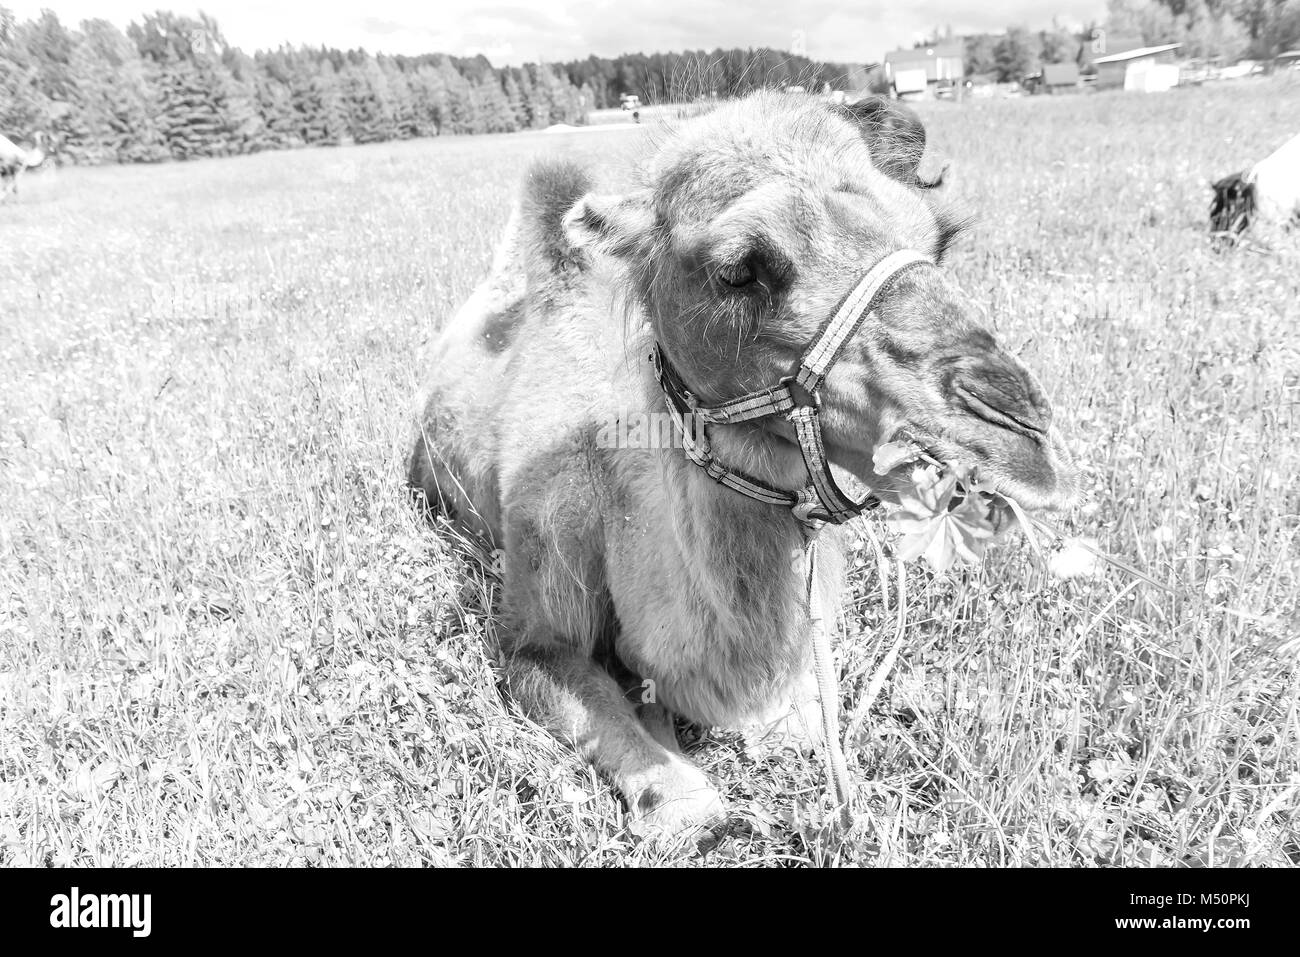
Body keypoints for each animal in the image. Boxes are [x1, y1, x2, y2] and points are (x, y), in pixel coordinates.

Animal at [408, 92, 1076, 839]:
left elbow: (807, 721)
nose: (1021, 436)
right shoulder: (532, 627)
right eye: (738, 267)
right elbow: (681, 793)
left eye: (939, 239)